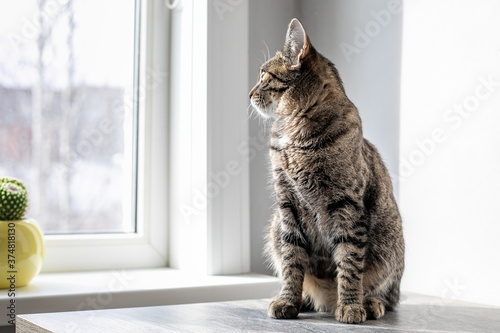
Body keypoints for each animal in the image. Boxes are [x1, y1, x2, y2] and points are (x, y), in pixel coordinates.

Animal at [248, 18, 404, 322]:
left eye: (263, 74)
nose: (248, 94)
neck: (294, 134)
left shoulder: (347, 206)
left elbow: (350, 263)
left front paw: (350, 305)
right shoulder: (287, 206)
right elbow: (292, 262)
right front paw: (288, 300)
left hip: (390, 242)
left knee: (387, 295)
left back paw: (368, 303)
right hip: (274, 226)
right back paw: (309, 299)